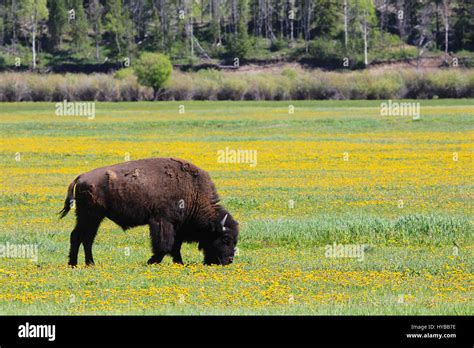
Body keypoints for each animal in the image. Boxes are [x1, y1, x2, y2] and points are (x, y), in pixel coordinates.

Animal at [59, 158, 239, 266]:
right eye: (225, 238)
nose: (229, 260)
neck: (193, 191)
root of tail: (81, 177)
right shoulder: (162, 222)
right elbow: (164, 245)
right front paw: (151, 261)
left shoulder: (177, 227)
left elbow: (175, 246)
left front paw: (179, 263)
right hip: (90, 216)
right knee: (79, 236)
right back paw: (75, 264)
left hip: (92, 217)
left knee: (85, 238)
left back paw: (87, 264)